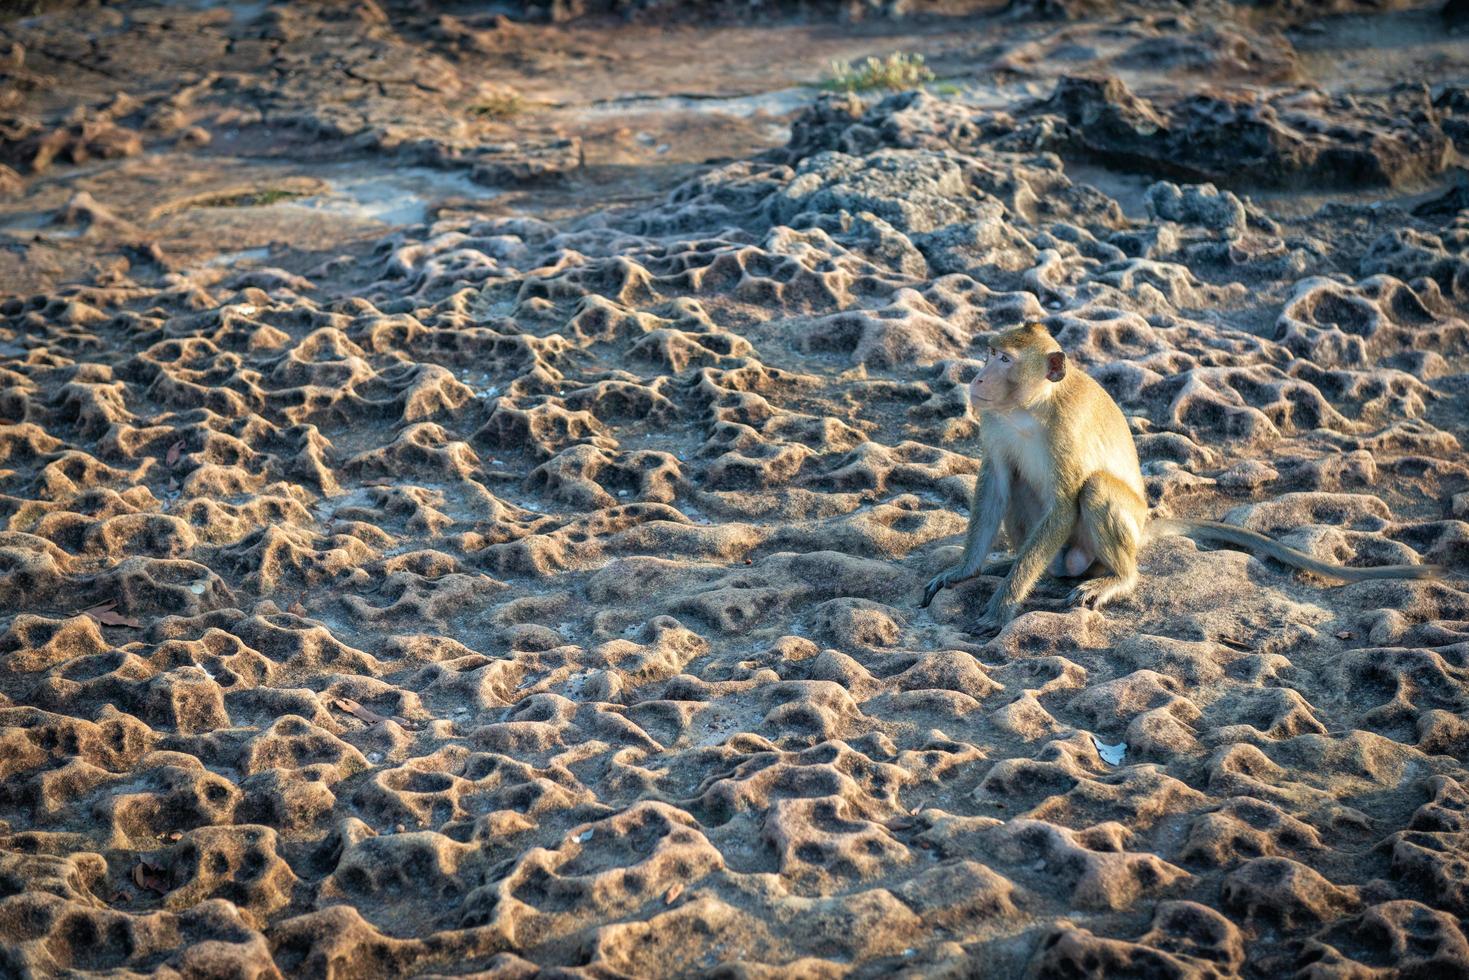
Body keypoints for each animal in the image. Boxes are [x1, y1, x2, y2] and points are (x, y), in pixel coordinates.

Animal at [922, 318, 1439, 631]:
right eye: (990, 352)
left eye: (1004, 360)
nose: (977, 379)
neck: (1030, 409)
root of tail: (1143, 530)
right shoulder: (996, 422)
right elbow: (996, 481)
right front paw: (965, 571)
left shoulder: (1063, 428)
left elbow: (1066, 502)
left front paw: (1003, 605)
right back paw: (1012, 564)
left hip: (1112, 538)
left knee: (1096, 491)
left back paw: (1116, 579)